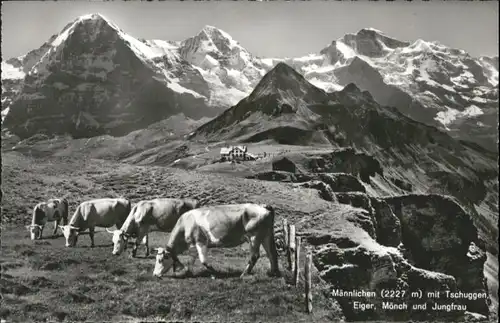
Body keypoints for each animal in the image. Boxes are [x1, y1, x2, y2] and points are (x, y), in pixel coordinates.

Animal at [152, 205, 282, 278]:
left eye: (160, 259)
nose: (154, 274)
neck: (185, 224)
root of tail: (263, 207)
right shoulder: (193, 246)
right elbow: (191, 260)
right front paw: (188, 273)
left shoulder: (201, 242)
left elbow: (203, 261)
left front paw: (215, 273)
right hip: (266, 235)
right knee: (272, 254)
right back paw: (274, 273)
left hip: (254, 237)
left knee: (255, 255)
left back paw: (243, 274)